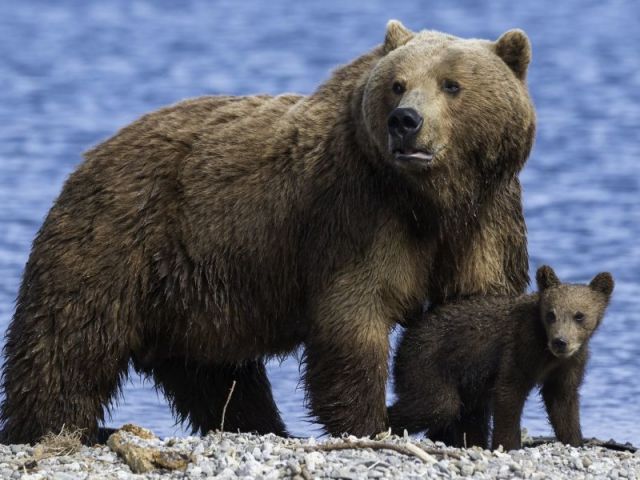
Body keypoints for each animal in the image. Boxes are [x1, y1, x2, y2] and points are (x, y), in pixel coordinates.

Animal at [0, 21, 536, 442]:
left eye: (452, 84)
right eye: (398, 84)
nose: (405, 121)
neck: (431, 199)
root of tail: (91, 156)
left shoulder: (488, 217)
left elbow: (471, 313)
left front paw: (464, 425)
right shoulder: (357, 214)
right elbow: (355, 315)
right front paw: (369, 422)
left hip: (194, 294)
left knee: (215, 374)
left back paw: (261, 426)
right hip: (116, 241)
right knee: (68, 345)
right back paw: (51, 427)